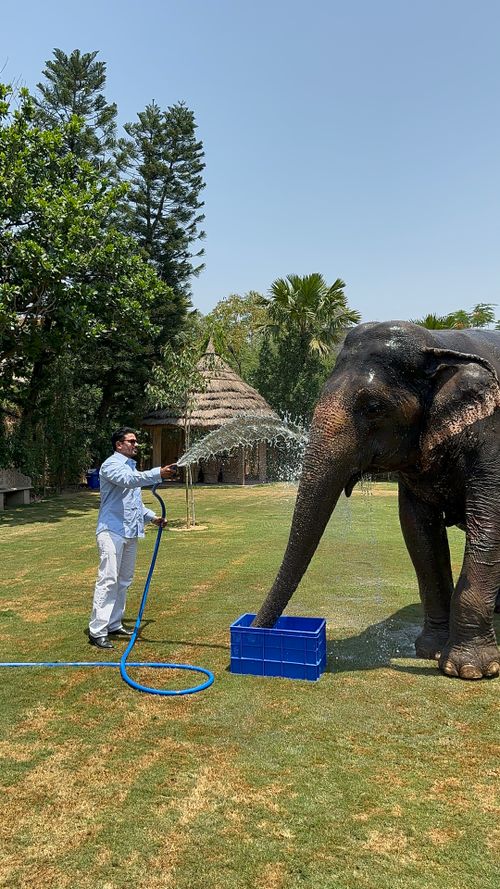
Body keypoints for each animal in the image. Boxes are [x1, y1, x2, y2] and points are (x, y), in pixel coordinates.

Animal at [254, 320, 500, 680]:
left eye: (373, 408)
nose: (254, 631)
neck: (438, 342)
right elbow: (418, 532)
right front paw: (429, 651)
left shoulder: (492, 438)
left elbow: (490, 521)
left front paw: (468, 670)